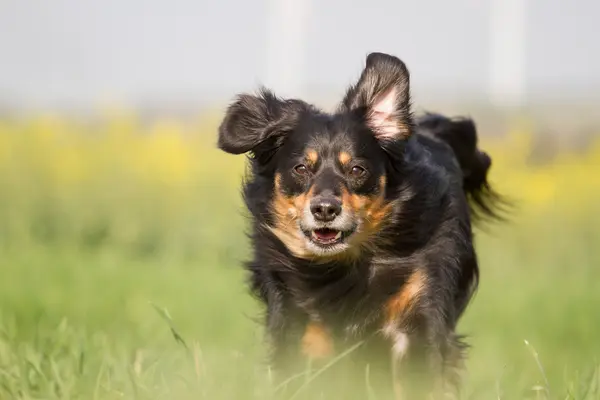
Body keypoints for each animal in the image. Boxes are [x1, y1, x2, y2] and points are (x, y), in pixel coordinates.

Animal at [218, 53, 504, 400]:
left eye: (357, 169)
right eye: (300, 168)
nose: (325, 209)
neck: (344, 264)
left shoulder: (418, 314)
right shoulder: (297, 317)